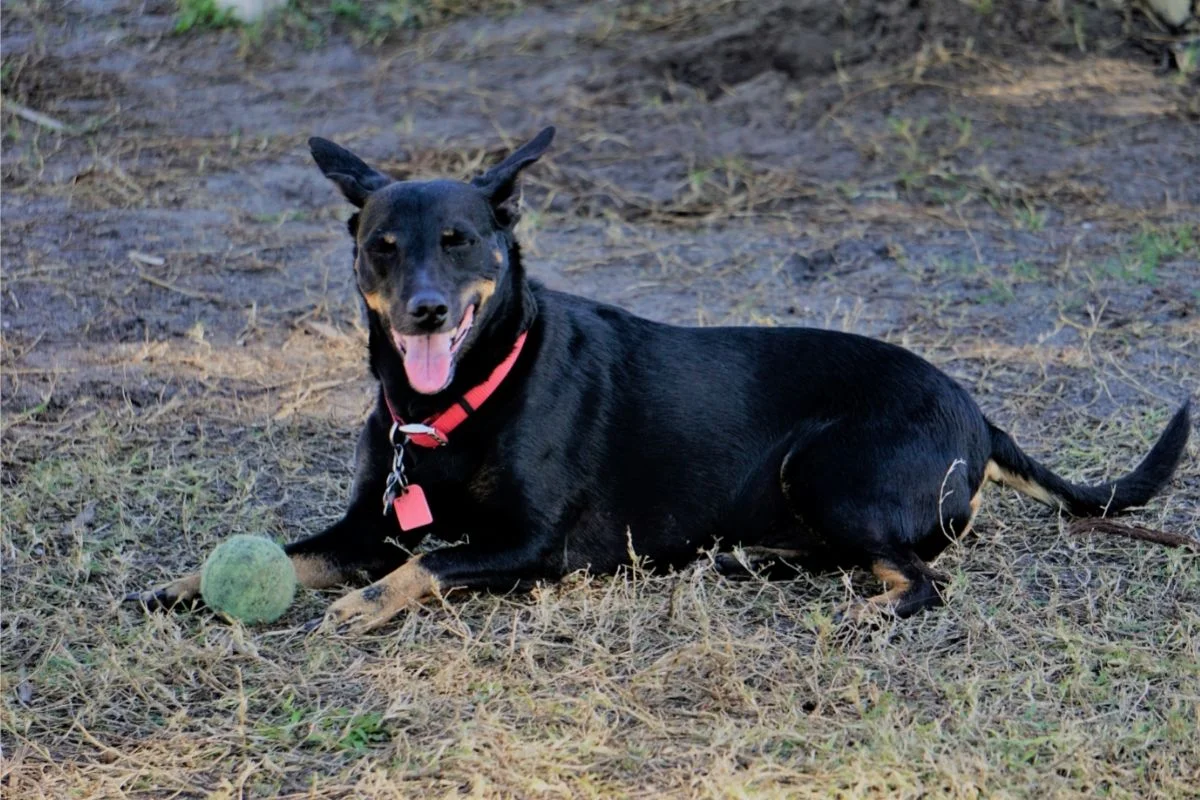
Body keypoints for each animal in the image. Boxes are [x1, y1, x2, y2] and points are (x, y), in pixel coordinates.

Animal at [131, 128, 1190, 633]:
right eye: (382, 247)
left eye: (462, 240)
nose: (426, 311)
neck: (451, 403)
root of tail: (976, 410)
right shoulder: (367, 526)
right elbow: (295, 549)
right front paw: (184, 586)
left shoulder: (535, 546)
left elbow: (428, 563)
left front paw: (366, 604)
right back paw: (749, 560)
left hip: (828, 467)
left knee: (922, 576)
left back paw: (870, 607)